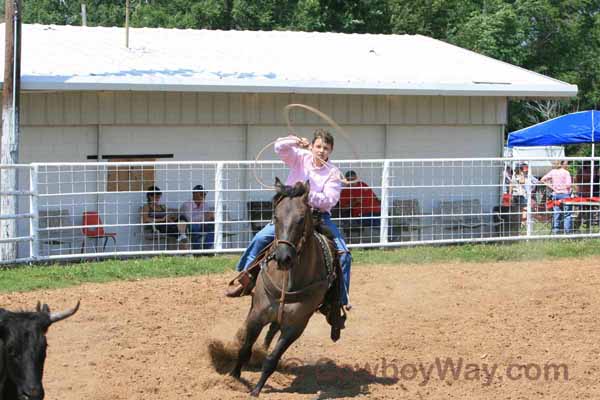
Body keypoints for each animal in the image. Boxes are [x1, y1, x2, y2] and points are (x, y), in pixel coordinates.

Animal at [232, 179, 340, 396]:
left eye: (301, 219)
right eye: (275, 216)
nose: (283, 258)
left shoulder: (296, 326)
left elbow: (272, 359)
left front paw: (256, 389)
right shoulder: (257, 314)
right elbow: (245, 347)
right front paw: (234, 377)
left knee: (272, 331)